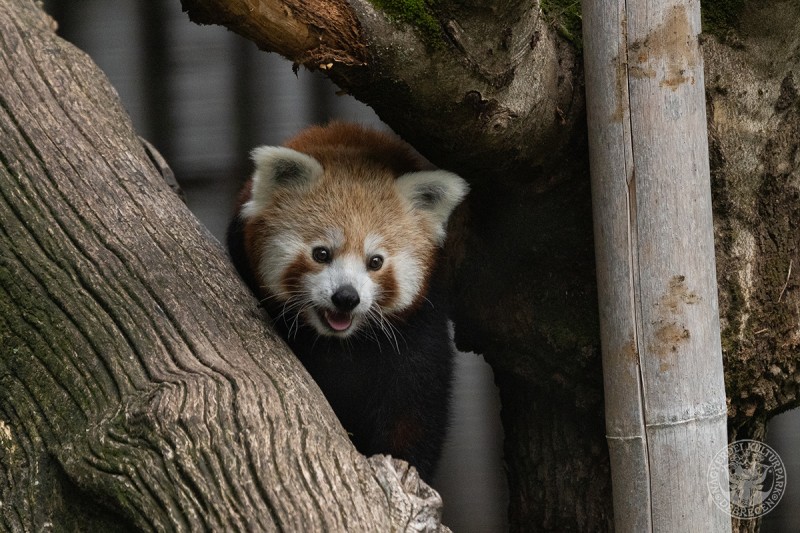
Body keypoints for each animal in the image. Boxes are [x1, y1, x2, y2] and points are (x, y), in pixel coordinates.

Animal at [227, 122, 468, 480]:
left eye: (375, 261)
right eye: (321, 254)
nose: (346, 297)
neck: (340, 343)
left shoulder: (422, 326)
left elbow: (414, 412)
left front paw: (405, 464)